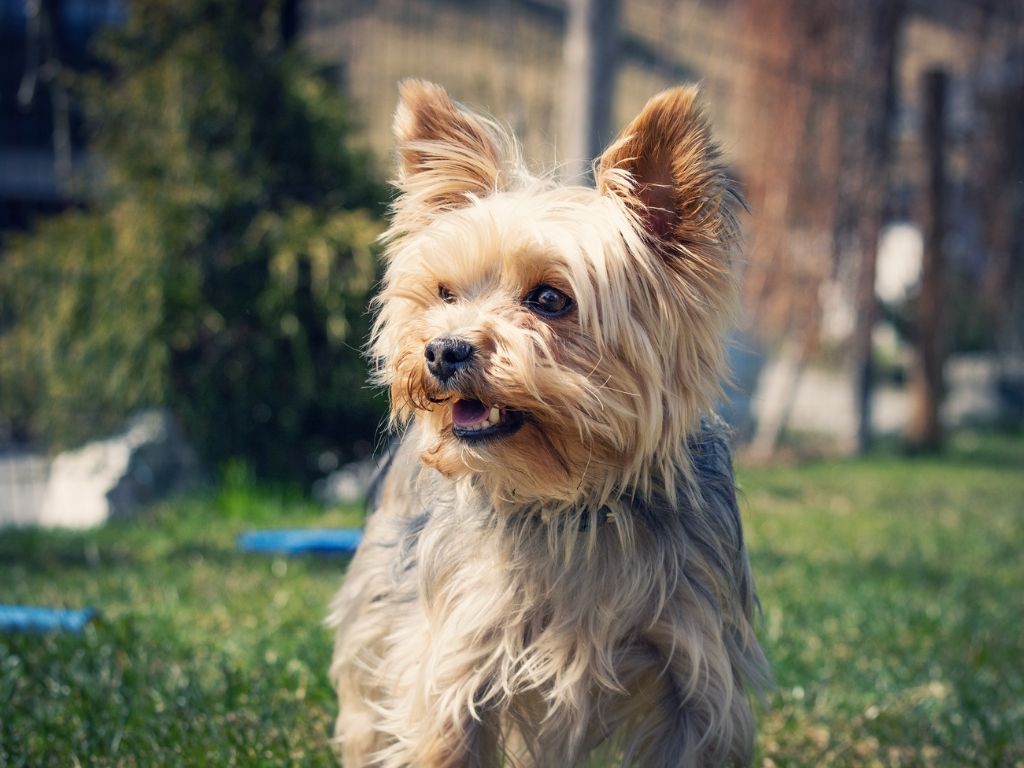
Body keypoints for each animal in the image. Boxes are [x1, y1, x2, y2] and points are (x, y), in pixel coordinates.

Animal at [327, 81, 770, 765]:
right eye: (445, 293)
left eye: (549, 299)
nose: (442, 350)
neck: (575, 504)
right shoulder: (454, 663)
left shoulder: (696, 678)